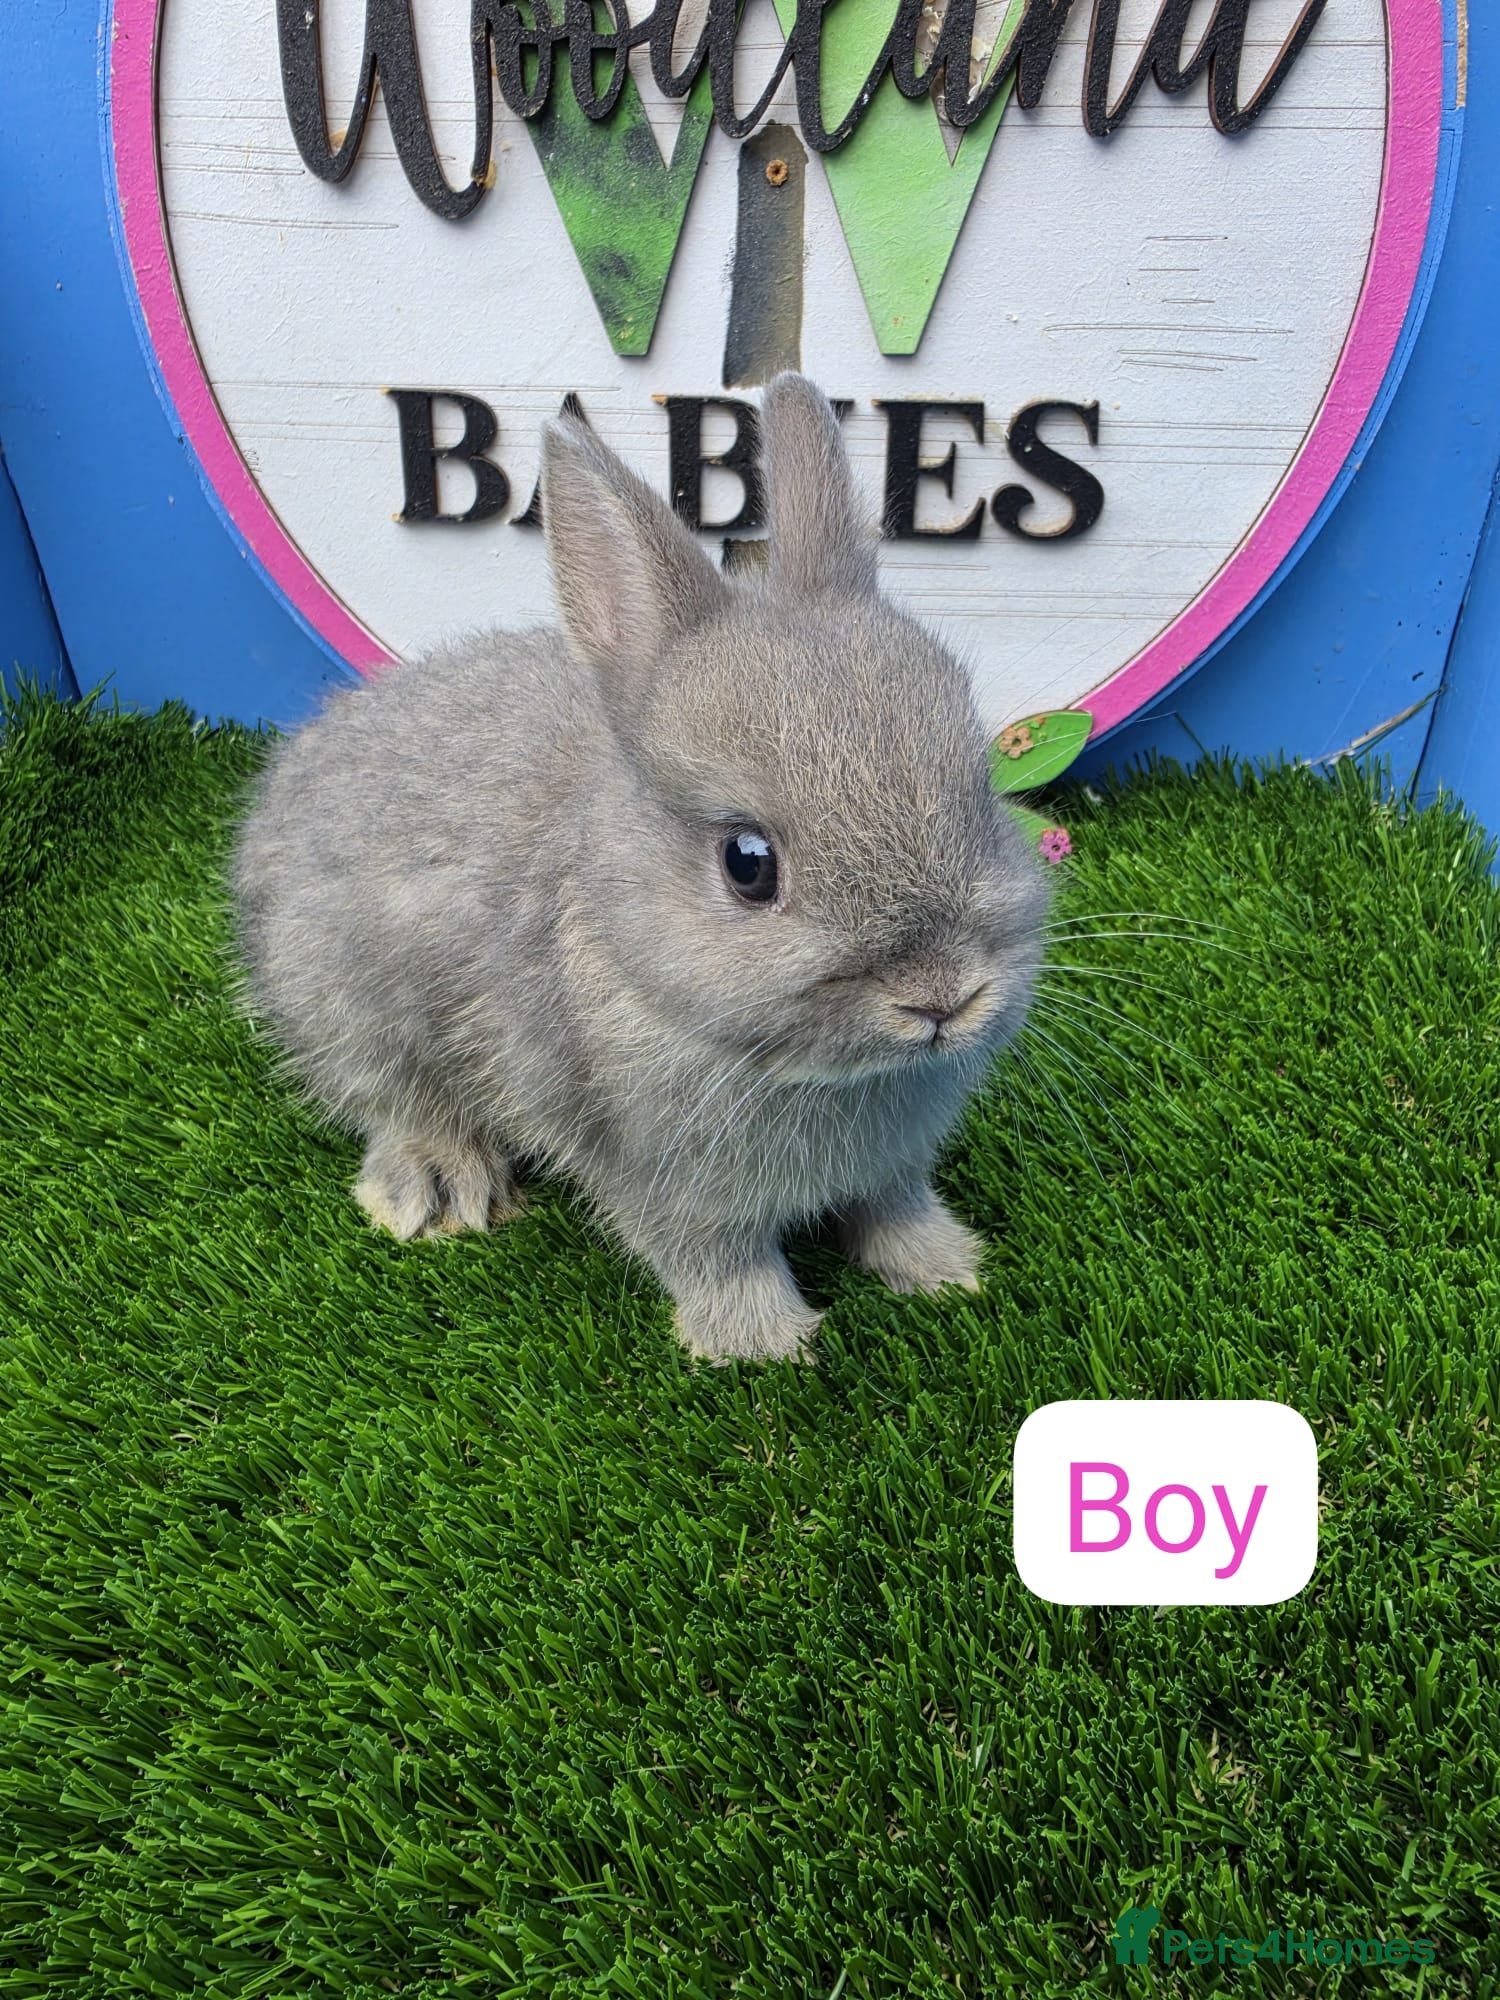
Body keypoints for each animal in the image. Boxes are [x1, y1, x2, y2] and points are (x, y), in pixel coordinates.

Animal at [232, 374, 1052, 1363]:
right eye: (748, 864)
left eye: (981, 787)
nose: (941, 998)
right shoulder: (656, 1177)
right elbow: (715, 1258)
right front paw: (764, 1347)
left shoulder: (892, 1167)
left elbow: (894, 1209)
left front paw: (946, 1271)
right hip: (347, 1002)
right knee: (382, 1096)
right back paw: (437, 1187)